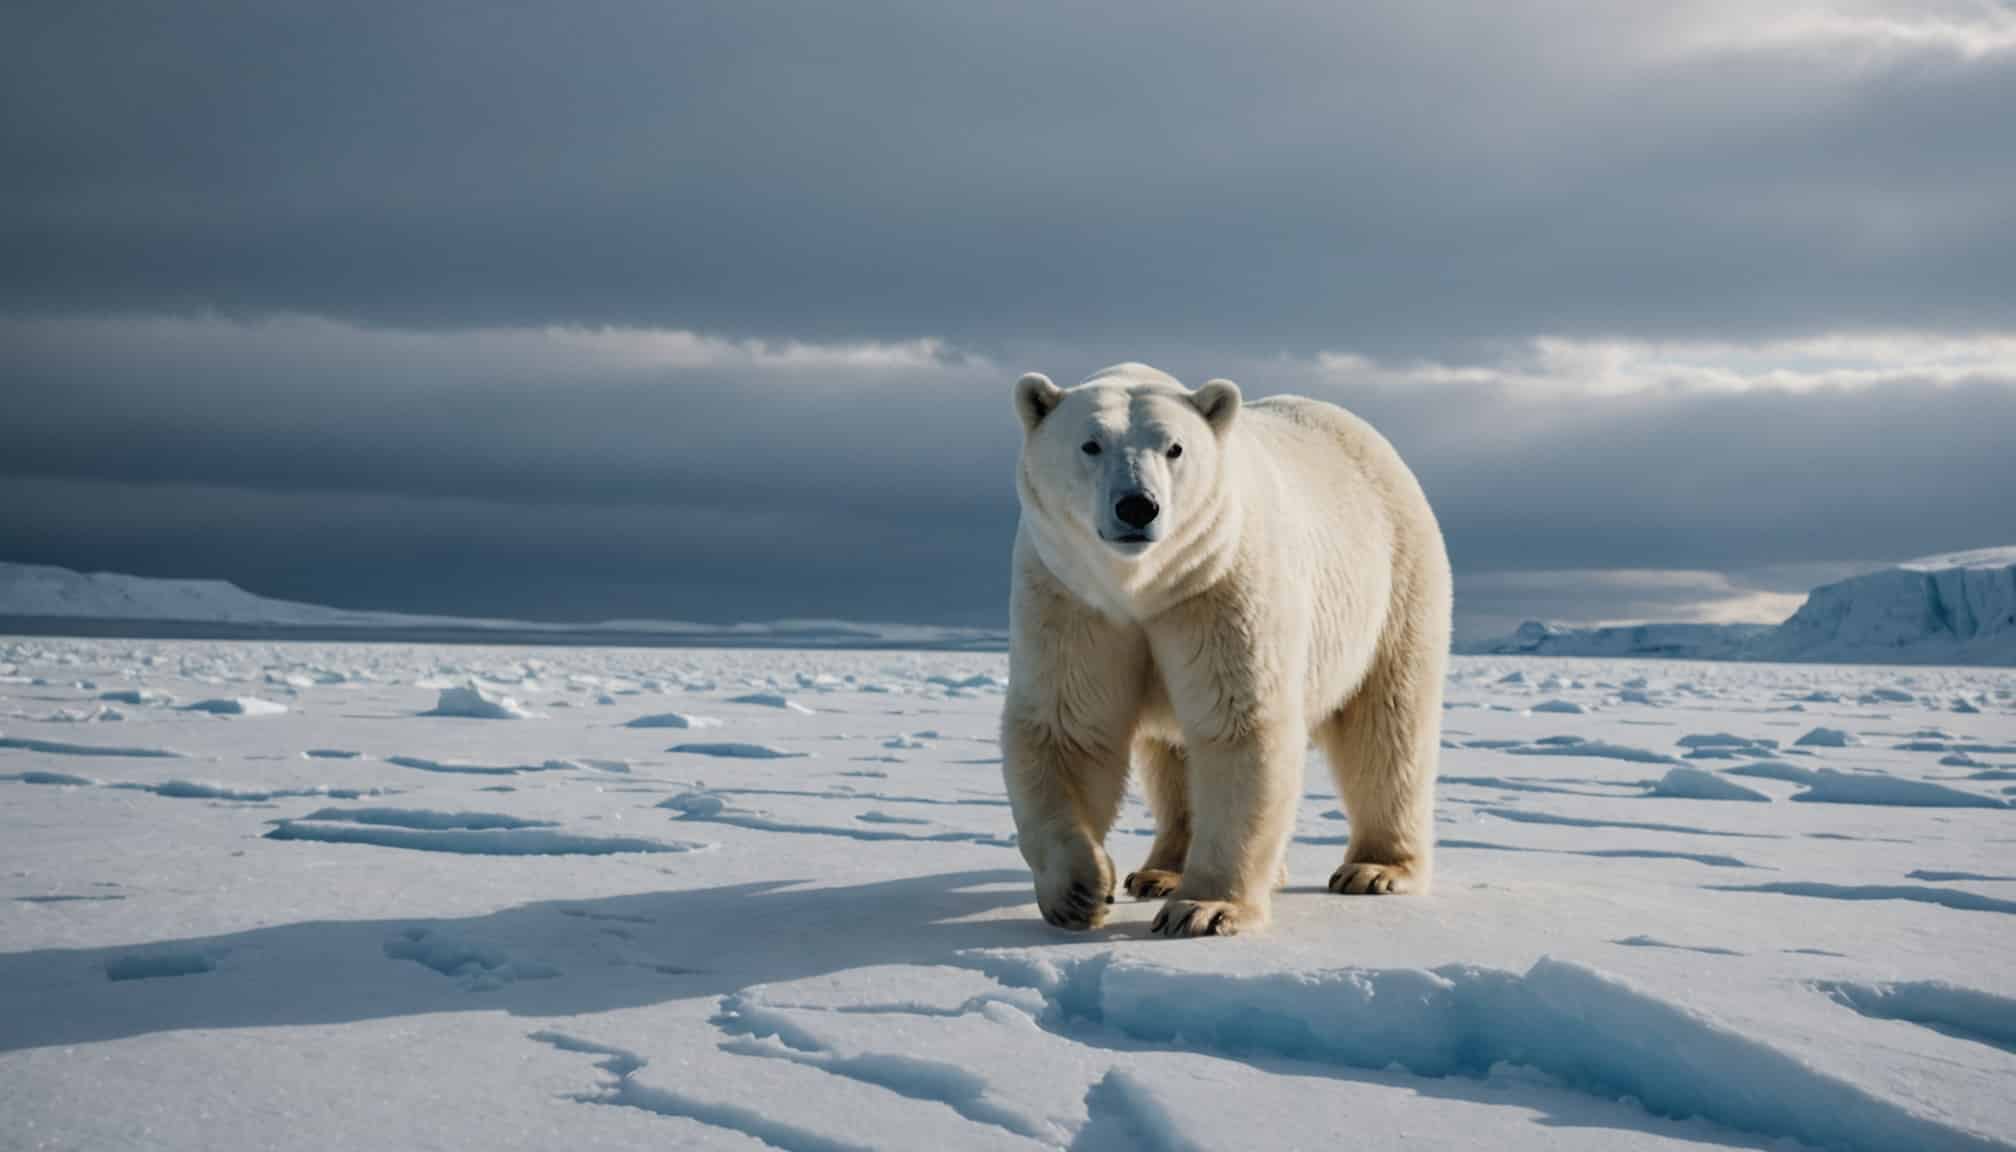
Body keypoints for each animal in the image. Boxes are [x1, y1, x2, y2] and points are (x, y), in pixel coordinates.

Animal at [1003, 365, 1451, 940]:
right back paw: (1160, 872)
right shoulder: (1071, 598)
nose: (1137, 506)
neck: (1144, 585)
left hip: (1395, 583)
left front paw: (1205, 909)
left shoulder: (1218, 586)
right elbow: (1068, 728)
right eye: (1090, 443)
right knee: (1169, 757)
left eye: (1174, 447)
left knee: (1387, 725)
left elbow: (1237, 724)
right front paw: (1080, 891)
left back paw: (1375, 869)